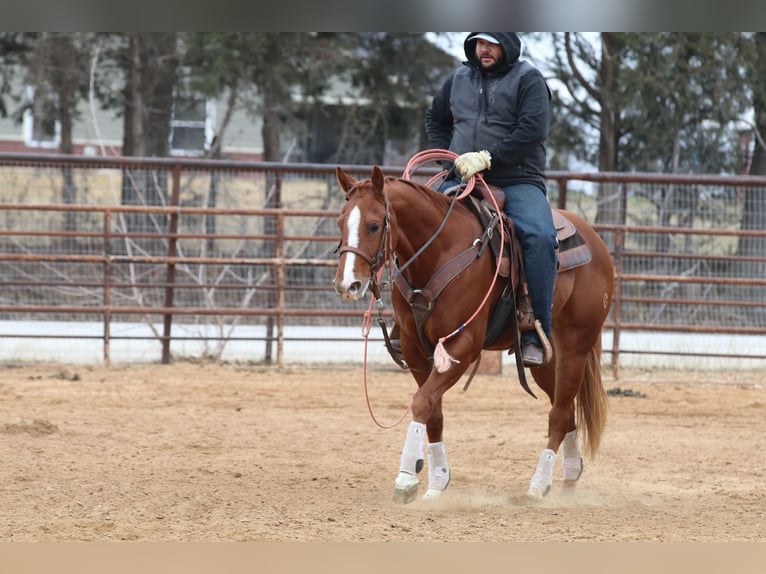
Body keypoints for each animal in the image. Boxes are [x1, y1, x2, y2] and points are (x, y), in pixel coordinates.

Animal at [332, 164, 616, 502]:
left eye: (374, 226)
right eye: (340, 222)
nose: (347, 285)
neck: (439, 251)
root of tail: (594, 240)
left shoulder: (462, 345)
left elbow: (421, 402)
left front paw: (406, 477)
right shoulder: (415, 349)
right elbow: (433, 410)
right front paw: (438, 480)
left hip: (576, 344)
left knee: (559, 413)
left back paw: (539, 484)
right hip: (546, 358)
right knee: (566, 407)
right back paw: (570, 476)